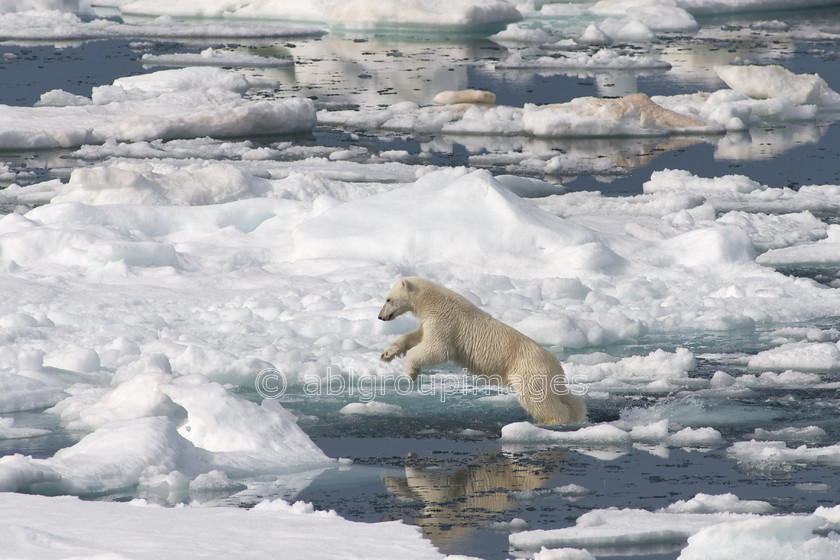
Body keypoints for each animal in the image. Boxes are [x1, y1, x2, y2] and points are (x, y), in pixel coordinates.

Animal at [378, 276, 588, 424]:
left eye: (388, 299)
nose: (380, 317)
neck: (434, 302)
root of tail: (556, 364)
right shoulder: (430, 323)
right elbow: (415, 336)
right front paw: (387, 354)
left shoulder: (446, 322)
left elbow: (437, 348)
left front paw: (411, 373)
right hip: (547, 376)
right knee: (564, 395)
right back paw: (577, 414)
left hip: (527, 371)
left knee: (536, 398)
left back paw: (551, 421)